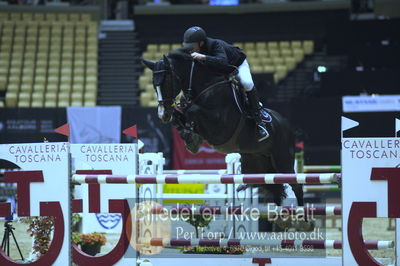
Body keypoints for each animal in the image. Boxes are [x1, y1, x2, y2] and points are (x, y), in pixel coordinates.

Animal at [143, 49, 304, 208]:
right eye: (154, 85)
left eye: (166, 83)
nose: (163, 115)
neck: (205, 87)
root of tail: (287, 124)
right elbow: (181, 115)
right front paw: (189, 136)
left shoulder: (221, 127)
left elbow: (192, 110)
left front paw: (190, 135)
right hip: (256, 161)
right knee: (272, 188)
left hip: (282, 159)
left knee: (296, 185)